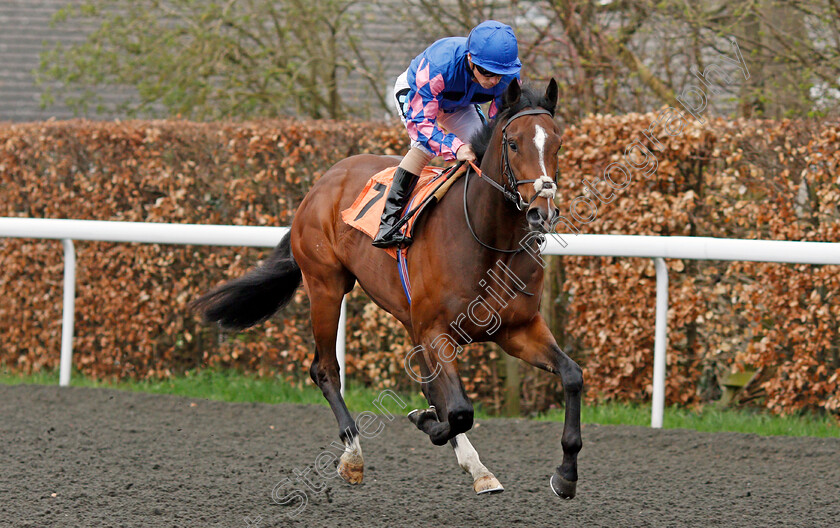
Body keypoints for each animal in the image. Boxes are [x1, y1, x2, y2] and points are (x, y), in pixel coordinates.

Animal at [193, 79, 580, 500]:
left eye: (558, 143)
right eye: (513, 143)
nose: (542, 211)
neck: (488, 239)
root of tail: (323, 181)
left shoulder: (517, 328)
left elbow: (571, 375)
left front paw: (565, 475)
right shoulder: (435, 331)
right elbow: (460, 410)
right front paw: (427, 423)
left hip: (406, 316)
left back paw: (474, 465)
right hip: (326, 286)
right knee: (324, 369)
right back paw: (353, 455)